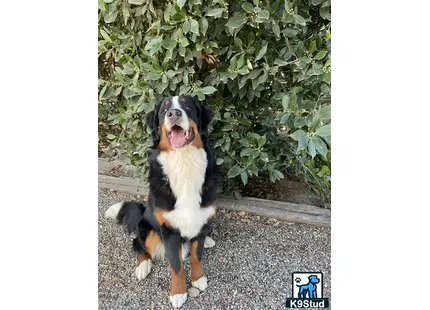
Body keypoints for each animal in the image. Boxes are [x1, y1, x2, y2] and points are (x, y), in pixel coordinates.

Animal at [103, 95, 218, 308]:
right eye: (165, 110)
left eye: (187, 107)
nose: (174, 113)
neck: (184, 161)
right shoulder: (169, 230)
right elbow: (176, 266)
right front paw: (178, 293)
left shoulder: (201, 216)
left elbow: (196, 256)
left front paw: (198, 278)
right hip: (146, 229)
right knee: (138, 245)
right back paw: (143, 266)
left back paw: (208, 239)